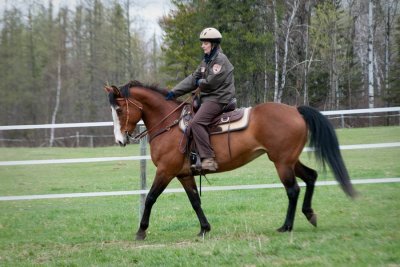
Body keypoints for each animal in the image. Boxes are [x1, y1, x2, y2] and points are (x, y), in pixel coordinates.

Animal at [104, 80, 354, 242]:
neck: (171, 125)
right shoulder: (184, 174)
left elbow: (150, 198)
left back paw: (286, 226)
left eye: (119, 109)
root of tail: (295, 110)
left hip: (282, 162)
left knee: (292, 190)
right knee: (311, 176)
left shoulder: (166, 171)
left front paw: (141, 231)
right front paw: (204, 229)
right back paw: (309, 214)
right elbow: (195, 201)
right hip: (290, 160)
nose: (119, 140)